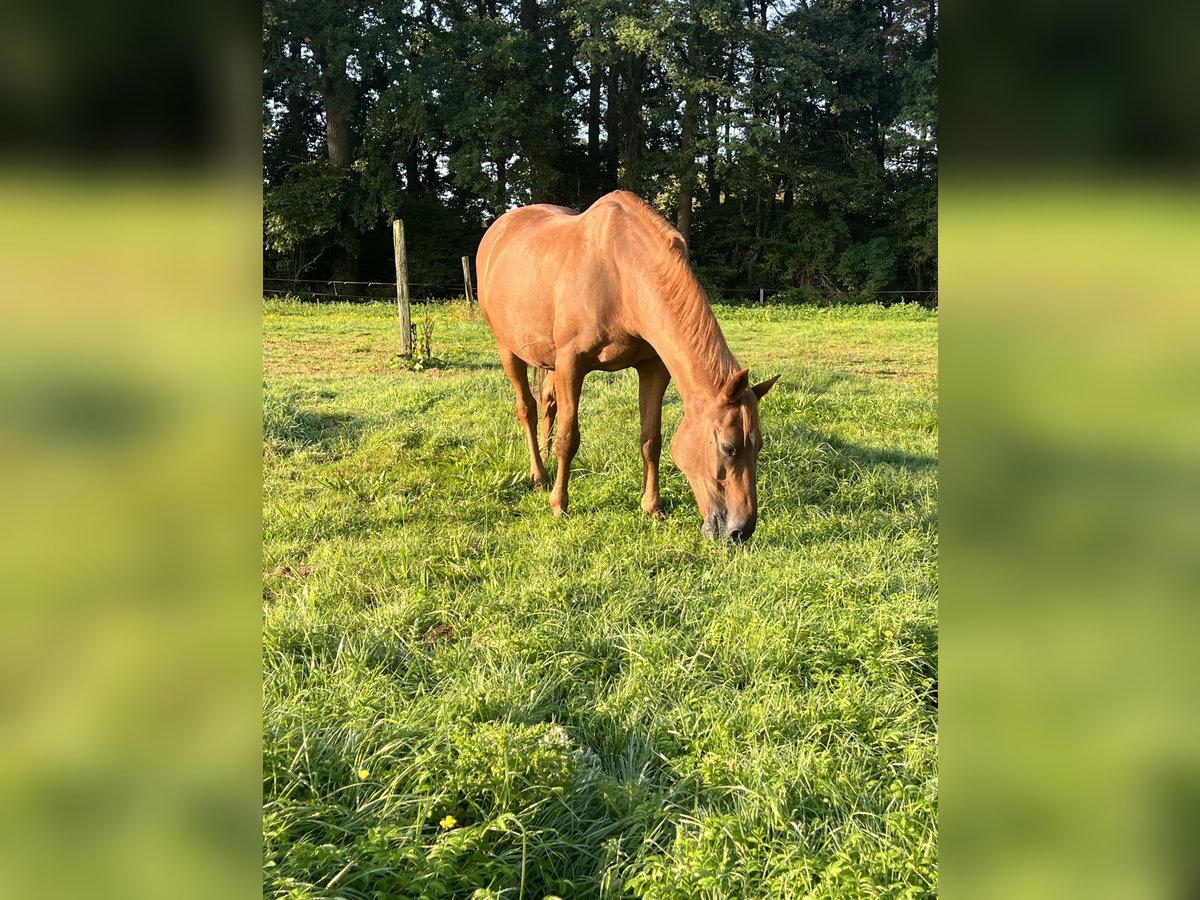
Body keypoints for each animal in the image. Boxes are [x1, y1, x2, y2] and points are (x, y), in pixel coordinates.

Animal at [472, 190, 782, 542]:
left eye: (759, 446)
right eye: (729, 447)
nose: (740, 530)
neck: (622, 276)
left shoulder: (652, 367)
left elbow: (651, 439)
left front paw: (652, 506)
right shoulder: (571, 365)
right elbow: (569, 438)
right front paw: (559, 504)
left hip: (547, 360)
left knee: (549, 404)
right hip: (508, 350)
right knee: (527, 408)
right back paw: (539, 477)